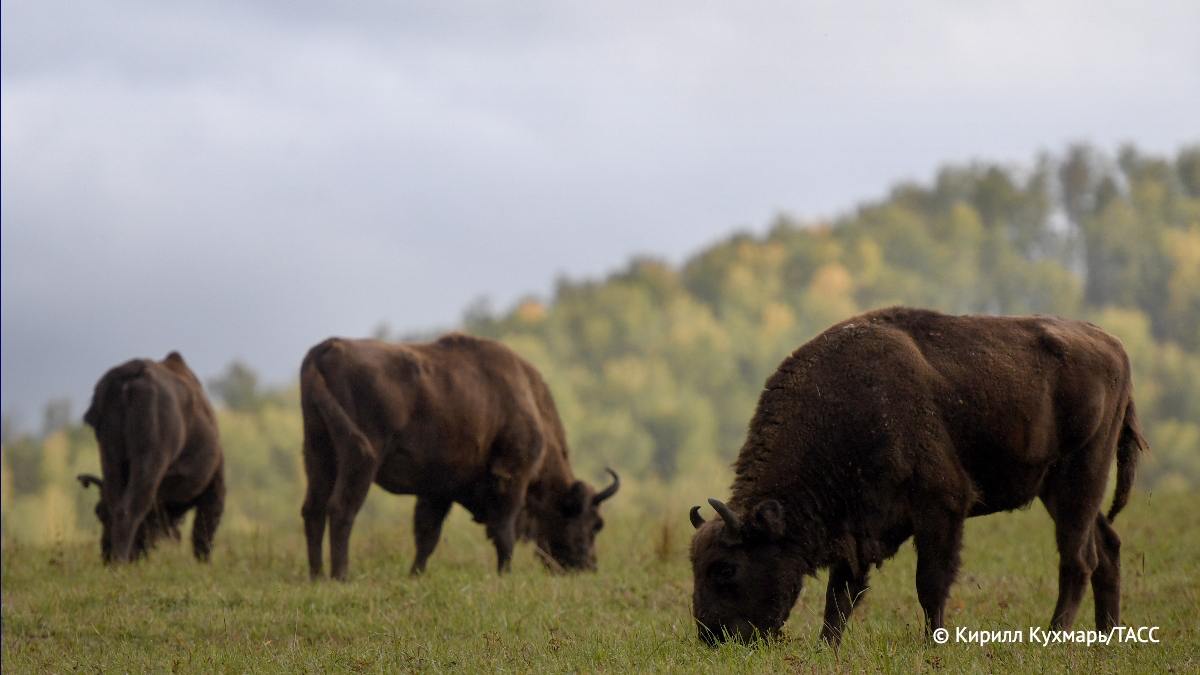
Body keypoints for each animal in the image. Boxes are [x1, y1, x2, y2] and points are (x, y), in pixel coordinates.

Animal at [79, 348, 225, 559]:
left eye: (98, 512)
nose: (105, 551)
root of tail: (130, 378)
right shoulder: (214, 486)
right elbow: (202, 536)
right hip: (149, 462)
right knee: (129, 510)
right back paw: (120, 561)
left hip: (111, 457)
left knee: (118, 506)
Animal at [298, 331, 619, 578]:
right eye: (594, 524)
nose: (588, 567)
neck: (528, 401)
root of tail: (324, 350)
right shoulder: (512, 479)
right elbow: (504, 532)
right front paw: (505, 574)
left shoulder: (436, 491)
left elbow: (427, 536)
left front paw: (416, 574)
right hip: (360, 459)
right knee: (341, 509)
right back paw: (340, 576)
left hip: (318, 454)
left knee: (313, 509)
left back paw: (317, 576)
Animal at [686, 305, 1142, 638]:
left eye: (725, 568)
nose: (711, 637)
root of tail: (1114, 345)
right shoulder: (856, 527)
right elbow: (840, 599)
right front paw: (825, 648)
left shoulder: (941, 508)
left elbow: (930, 585)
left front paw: (932, 643)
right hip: (1059, 489)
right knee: (1107, 547)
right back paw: (1105, 637)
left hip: (1080, 478)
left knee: (1079, 559)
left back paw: (1055, 637)